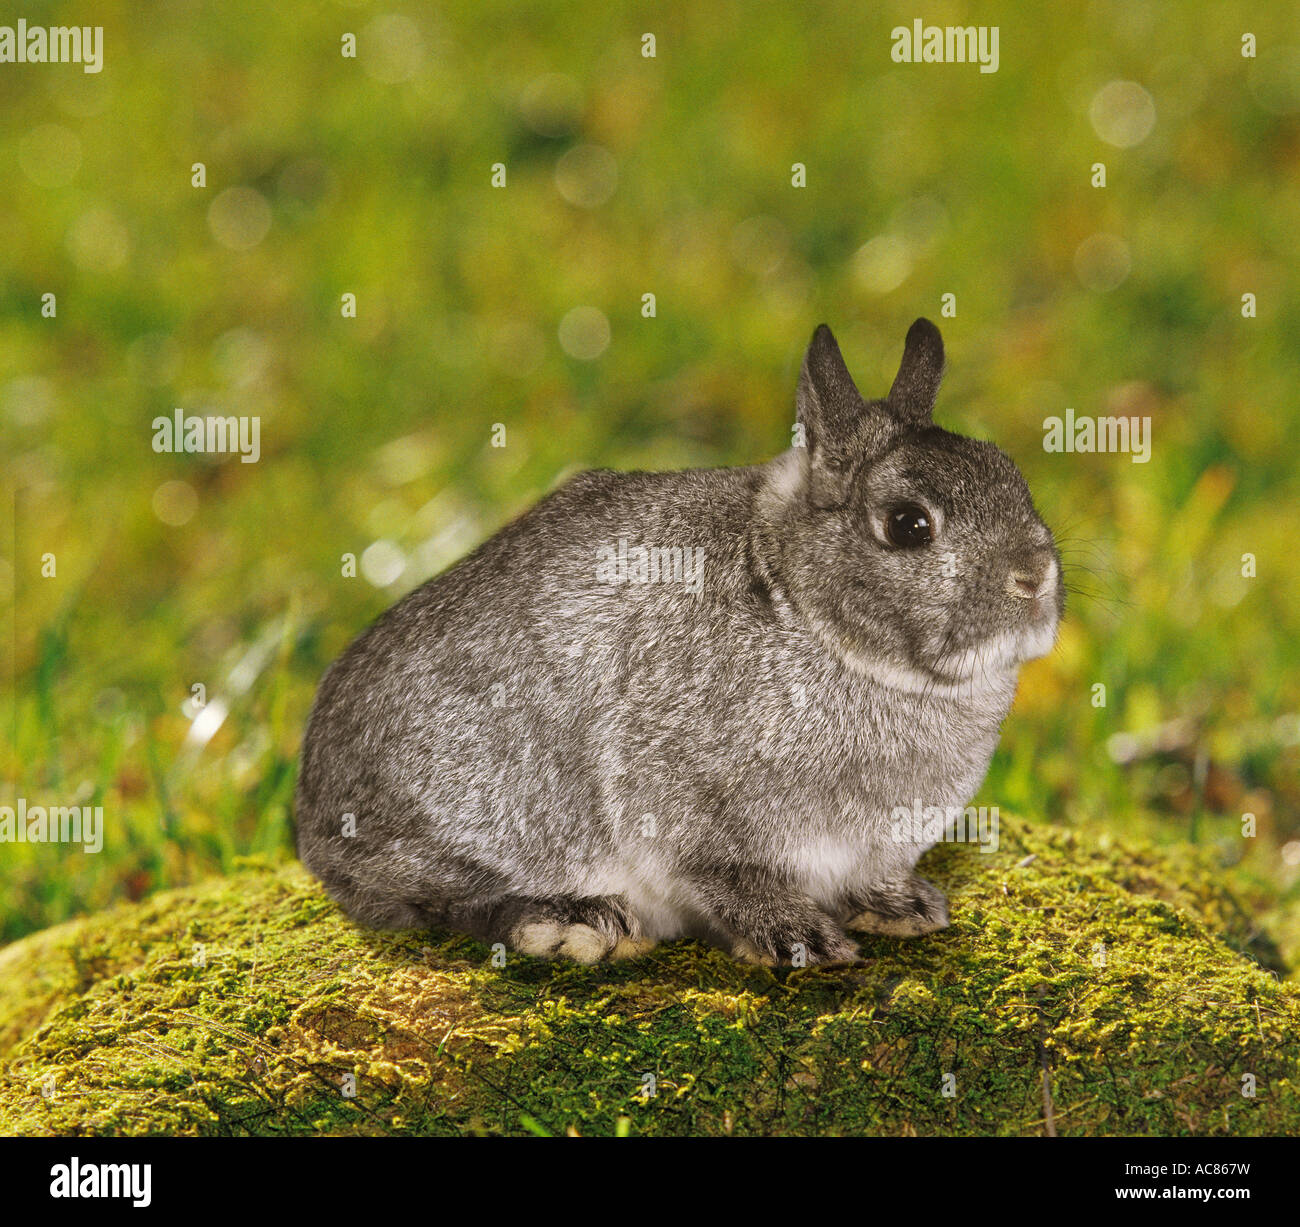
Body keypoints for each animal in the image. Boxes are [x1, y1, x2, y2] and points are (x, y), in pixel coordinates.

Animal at [295, 319, 1063, 965]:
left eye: (1013, 475)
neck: (798, 605)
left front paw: (902, 908)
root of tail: (312, 813)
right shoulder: (691, 814)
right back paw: (575, 922)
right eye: (909, 524)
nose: (1034, 574)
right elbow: (727, 876)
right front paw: (801, 939)